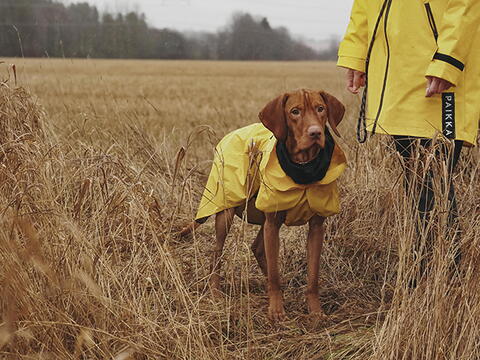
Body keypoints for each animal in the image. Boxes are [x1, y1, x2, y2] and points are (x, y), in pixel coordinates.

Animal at [180, 89, 344, 320]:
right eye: (295, 111)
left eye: (321, 108)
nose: (315, 133)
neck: (304, 168)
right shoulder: (272, 224)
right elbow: (274, 274)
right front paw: (276, 309)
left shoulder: (316, 227)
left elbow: (313, 276)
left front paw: (315, 311)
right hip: (227, 213)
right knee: (217, 251)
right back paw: (215, 291)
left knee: (257, 248)